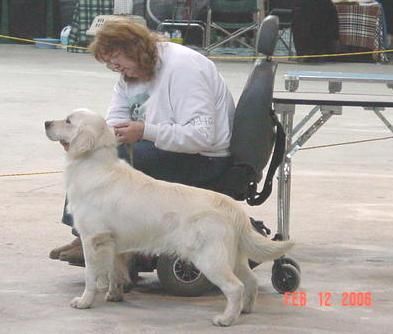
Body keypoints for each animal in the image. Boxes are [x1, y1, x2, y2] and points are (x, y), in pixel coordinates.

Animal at [44, 109, 292, 326]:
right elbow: (114, 270)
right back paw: (246, 309)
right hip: (235, 256)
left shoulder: (93, 238)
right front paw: (114, 295)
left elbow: (91, 274)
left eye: (68, 121)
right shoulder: (113, 242)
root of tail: (233, 208)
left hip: (210, 258)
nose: (46, 123)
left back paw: (226, 319)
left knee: (235, 287)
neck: (94, 165)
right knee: (250, 280)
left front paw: (84, 301)